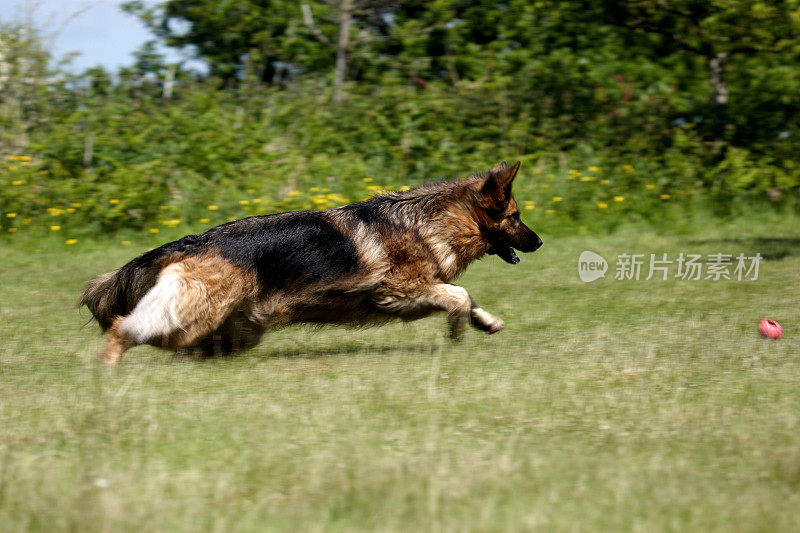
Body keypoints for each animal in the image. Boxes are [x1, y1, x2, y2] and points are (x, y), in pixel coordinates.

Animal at [81, 161, 544, 362]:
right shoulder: (400, 292)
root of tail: (194, 241)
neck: (431, 223)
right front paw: (458, 328)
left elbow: (466, 296)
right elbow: (459, 295)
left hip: (235, 327)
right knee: (128, 328)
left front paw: (484, 321)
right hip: (195, 314)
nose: (540, 241)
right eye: (516, 217)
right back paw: (110, 365)